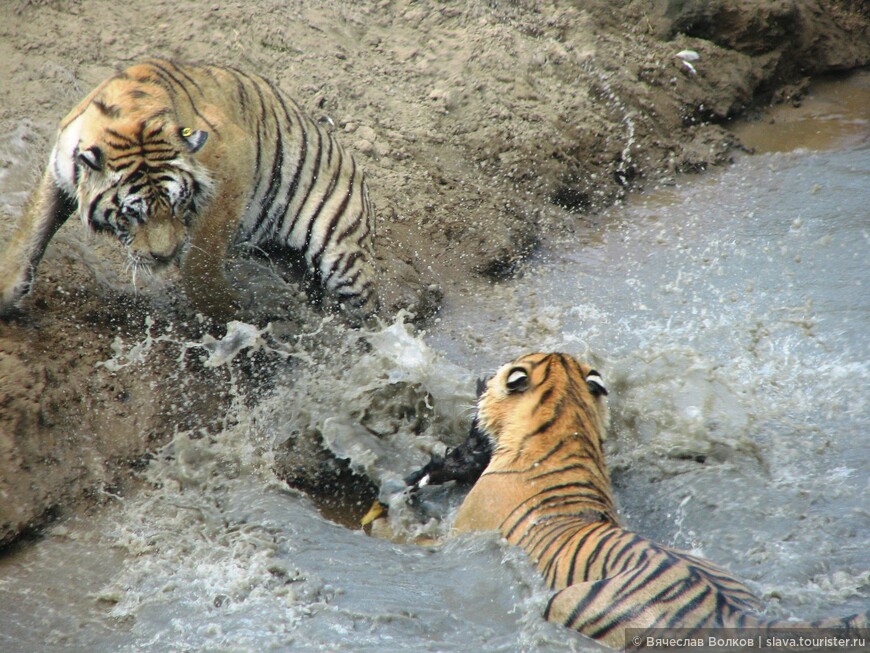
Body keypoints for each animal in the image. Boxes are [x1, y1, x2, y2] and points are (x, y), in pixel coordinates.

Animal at [0, 58, 378, 320]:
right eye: (131, 214)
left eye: (179, 204)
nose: (165, 256)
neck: (129, 117)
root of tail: (352, 159)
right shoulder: (59, 171)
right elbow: (32, 229)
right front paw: (7, 293)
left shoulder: (232, 164)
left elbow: (201, 259)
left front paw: (228, 310)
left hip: (339, 248)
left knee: (367, 306)